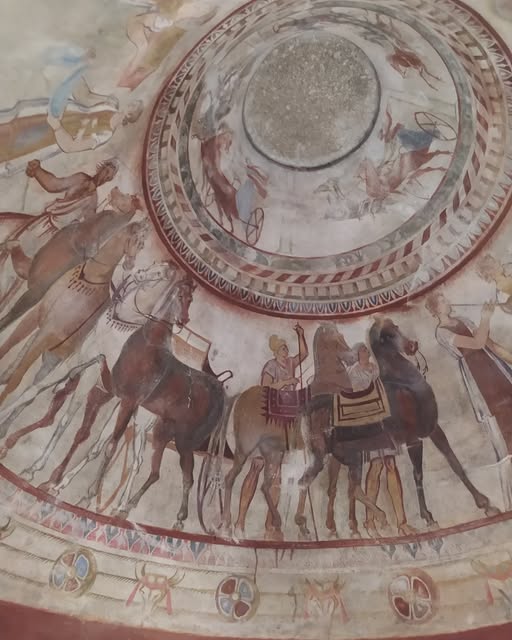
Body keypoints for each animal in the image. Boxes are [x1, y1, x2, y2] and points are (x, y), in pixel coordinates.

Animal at [0, 261, 177, 479]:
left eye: (160, 274)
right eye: (154, 266)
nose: (139, 274)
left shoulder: (90, 374)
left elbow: (64, 418)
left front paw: (35, 466)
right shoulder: (78, 365)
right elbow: (35, 393)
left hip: (134, 419)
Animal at [294, 318, 500, 538]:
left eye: (396, 328)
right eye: (386, 336)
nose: (412, 345)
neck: (406, 385)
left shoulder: (434, 430)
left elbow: (455, 464)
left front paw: (484, 503)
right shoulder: (413, 441)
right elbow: (418, 474)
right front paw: (428, 517)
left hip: (334, 457)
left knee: (323, 484)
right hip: (344, 456)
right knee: (343, 487)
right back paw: (373, 519)